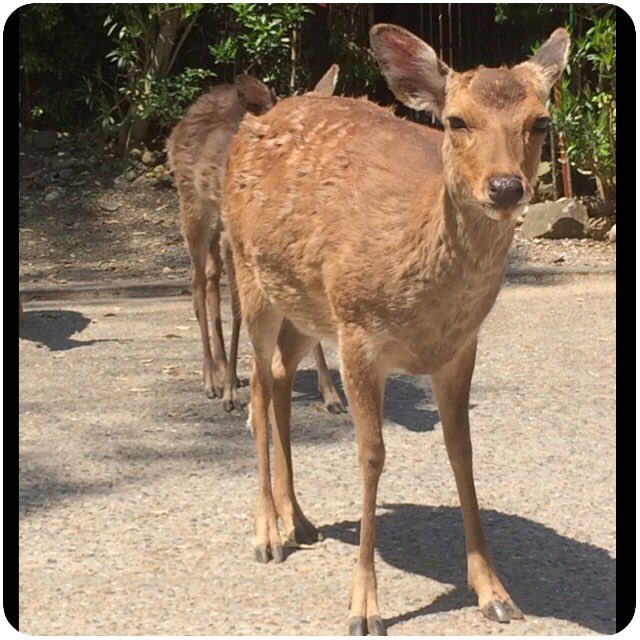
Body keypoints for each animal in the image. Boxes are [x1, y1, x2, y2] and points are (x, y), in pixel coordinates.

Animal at [165, 67, 344, 412]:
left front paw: (330, 394)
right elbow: (239, 308)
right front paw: (231, 395)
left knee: (211, 269)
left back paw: (225, 370)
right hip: (192, 200)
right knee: (197, 278)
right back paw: (212, 378)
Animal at [221, 23, 568, 636]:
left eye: (541, 121)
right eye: (456, 121)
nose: (506, 187)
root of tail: (254, 122)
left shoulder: (460, 346)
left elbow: (462, 449)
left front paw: (495, 592)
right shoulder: (360, 333)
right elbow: (372, 455)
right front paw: (364, 608)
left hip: (310, 308)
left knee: (281, 376)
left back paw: (299, 520)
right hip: (252, 274)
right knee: (259, 386)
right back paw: (266, 533)